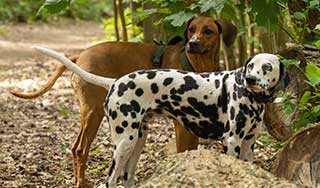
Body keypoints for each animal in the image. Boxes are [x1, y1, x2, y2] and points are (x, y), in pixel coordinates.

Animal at [10, 15, 238, 187]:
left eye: (208, 30)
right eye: (191, 30)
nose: (192, 43)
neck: (196, 63)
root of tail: (80, 55)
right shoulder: (182, 127)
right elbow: (185, 151)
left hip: (131, 128)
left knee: (76, 148)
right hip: (95, 113)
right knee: (81, 149)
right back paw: (82, 183)